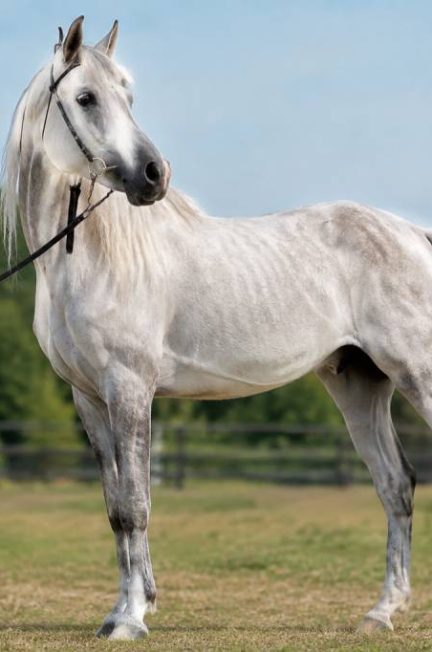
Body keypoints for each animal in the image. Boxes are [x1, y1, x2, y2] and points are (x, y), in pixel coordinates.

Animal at [2, 14, 431, 641]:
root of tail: (411, 233)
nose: (154, 175)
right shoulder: (88, 397)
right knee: (395, 485)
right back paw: (380, 614)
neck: (91, 258)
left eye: (128, 96)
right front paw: (120, 611)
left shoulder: (129, 387)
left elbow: (137, 503)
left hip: (416, 373)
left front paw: (132, 618)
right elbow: (115, 507)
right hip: (359, 384)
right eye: (85, 98)